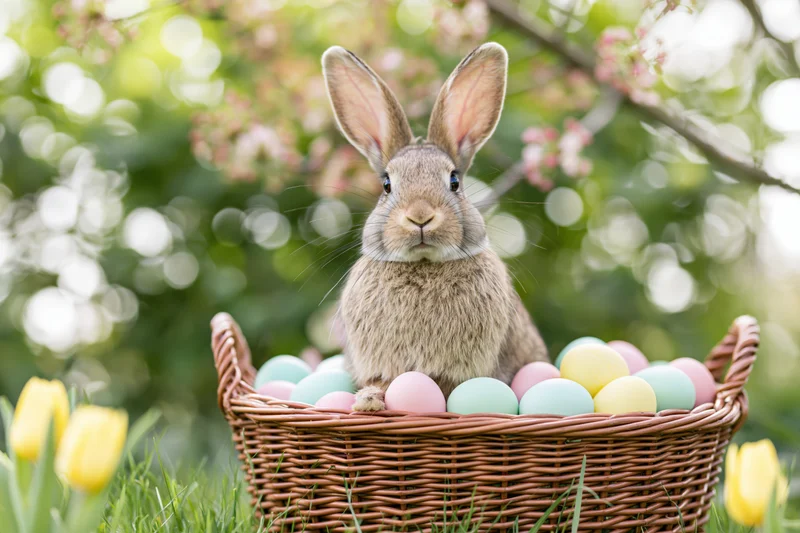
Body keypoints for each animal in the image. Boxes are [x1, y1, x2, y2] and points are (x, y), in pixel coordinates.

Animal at [321, 42, 548, 411]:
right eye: (386, 185)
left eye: (454, 181)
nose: (420, 216)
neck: (424, 265)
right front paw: (368, 400)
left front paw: (371, 401)